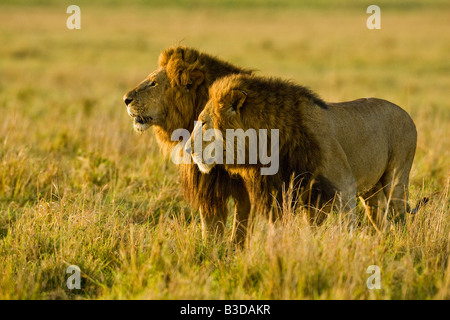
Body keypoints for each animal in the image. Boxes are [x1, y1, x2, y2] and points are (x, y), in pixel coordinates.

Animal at [186, 74, 428, 229]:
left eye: (204, 122)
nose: (187, 148)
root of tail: (407, 114)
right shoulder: (288, 194)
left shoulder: (343, 186)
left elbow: (344, 227)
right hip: (372, 191)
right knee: (380, 220)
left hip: (396, 179)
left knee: (399, 218)